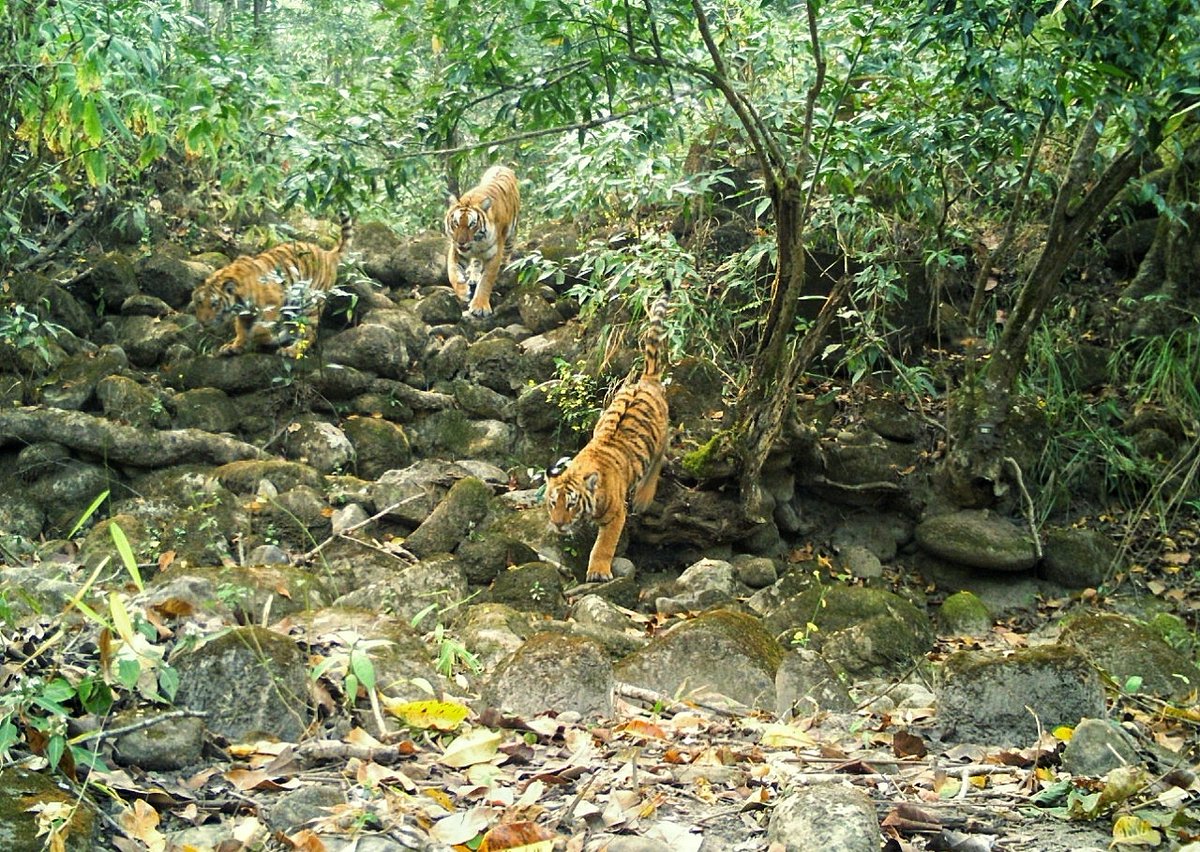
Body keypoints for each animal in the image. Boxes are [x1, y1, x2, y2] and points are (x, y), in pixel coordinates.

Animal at [190, 215, 353, 357]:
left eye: (214, 304)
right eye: (198, 303)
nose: (202, 322)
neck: (239, 302)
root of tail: (327, 254)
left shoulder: (273, 304)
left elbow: (260, 328)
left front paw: (264, 338)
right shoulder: (244, 315)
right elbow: (242, 330)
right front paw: (235, 346)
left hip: (309, 305)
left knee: (308, 333)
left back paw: (290, 351)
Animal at [444, 165, 520, 318]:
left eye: (472, 224)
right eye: (455, 223)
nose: (461, 242)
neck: (477, 242)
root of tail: (502, 166)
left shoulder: (494, 253)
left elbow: (486, 281)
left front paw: (480, 306)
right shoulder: (456, 251)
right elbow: (452, 272)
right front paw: (463, 291)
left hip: (510, 236)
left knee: (507, 254)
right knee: (476, 262)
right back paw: (473, 276)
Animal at [545, 282, 673, 582]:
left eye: (571, 505)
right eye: (552, 503)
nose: (558, 525)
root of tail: (645, 380)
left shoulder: (616, 514)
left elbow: (604, 544)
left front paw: (597, 572)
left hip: (660, 435)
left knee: (659, 458)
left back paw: (643, 498)